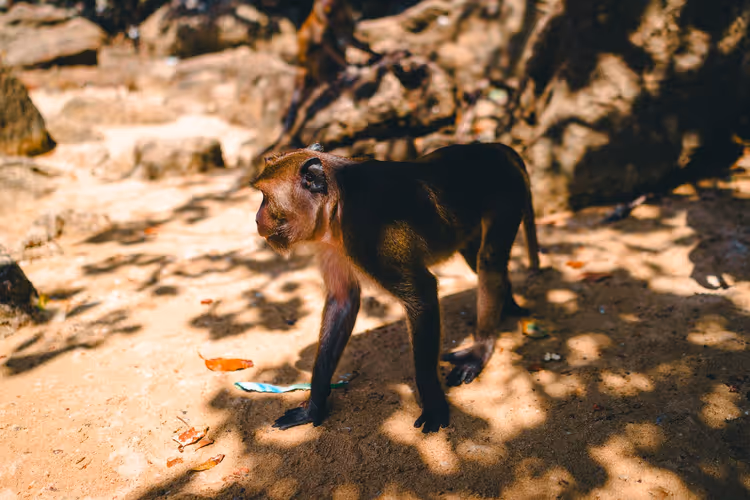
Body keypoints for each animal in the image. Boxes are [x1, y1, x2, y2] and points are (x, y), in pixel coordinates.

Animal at [251, 141, 540, 433]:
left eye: (265, 197)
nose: (256, 218)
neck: (337, 201)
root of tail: (495, 147)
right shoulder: (329, 241)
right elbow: (343, 300)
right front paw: (313, 407)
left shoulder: (367, 234)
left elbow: (421, 294)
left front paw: (434, 406)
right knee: (476, 257)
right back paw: (508, 306)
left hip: (506, 192)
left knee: (489, 260)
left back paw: (480, 350)